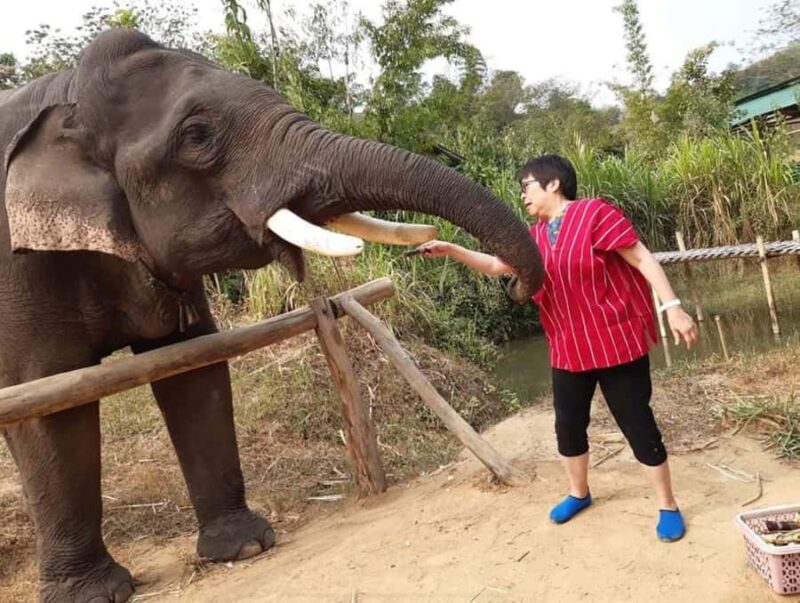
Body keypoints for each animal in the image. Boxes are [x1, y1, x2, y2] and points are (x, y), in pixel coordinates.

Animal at [0, 29, 543, 602]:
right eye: (196, 135)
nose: (513, 283)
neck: (65, 96)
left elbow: (192, 367)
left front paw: (244, 548)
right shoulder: (16, 265)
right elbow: (48, 401)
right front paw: (95, 595)